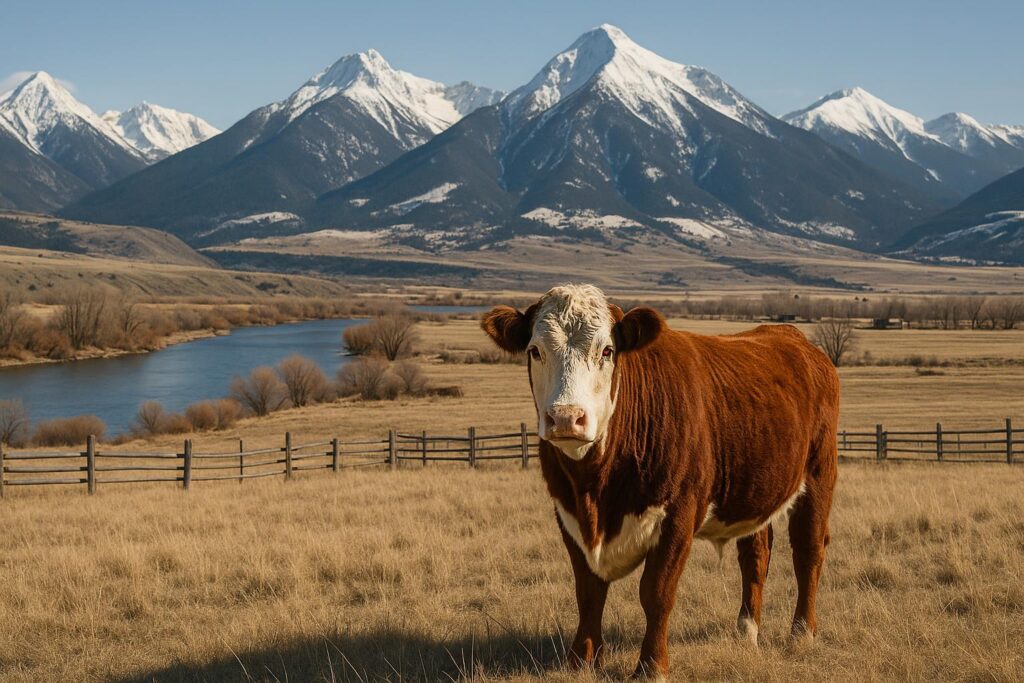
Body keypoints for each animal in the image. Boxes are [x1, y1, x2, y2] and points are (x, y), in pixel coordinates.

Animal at [481, 284, 840, 679]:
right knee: (756, 555)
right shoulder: (568, 512)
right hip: (755, 489)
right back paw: (747, 632)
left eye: (607, 350)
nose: (565, 417)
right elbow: (588, 591)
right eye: (535, 350)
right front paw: (580, 661)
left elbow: (656, 592)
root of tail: (792, 338)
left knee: (808, 550)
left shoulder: (678, 515)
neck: (596, 491)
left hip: (819, 474)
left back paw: (802, 632)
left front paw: (651, 666)